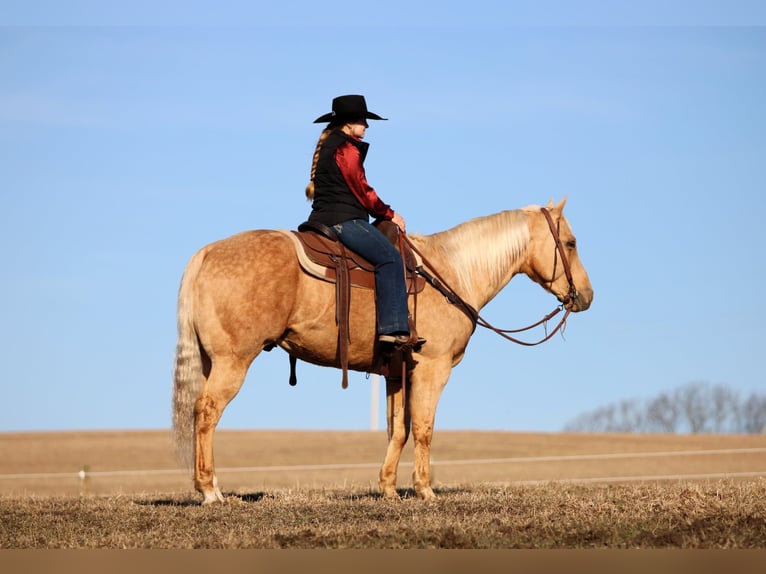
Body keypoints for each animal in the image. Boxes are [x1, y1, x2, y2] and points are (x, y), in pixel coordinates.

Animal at [172, 198, 592, 504]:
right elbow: (423, 427)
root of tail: (207, 253)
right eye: (571, 243)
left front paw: (388, 488)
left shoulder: (396, 372)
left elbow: (398, 429)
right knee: (207, 411)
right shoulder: (433, 368)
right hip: (233, 361)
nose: (586, 296)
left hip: (211, 362)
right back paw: (210, 490)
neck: (451, 273)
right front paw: (425, 490)